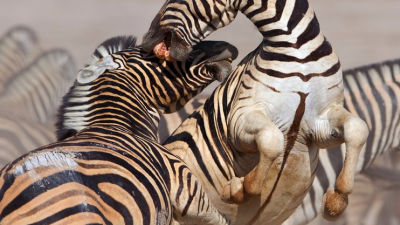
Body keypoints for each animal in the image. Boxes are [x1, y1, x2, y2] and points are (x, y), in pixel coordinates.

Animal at [143, 0, 368, 224]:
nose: (146, 42)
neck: (297, 49)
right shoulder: (239, 119)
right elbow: (272, 140)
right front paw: (239, 189)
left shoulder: (321, 122)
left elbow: (358, 129)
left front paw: (336, 201)